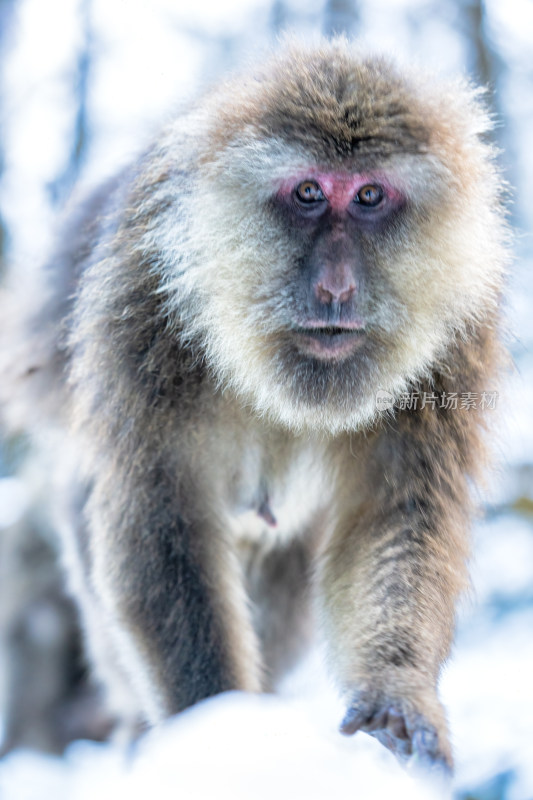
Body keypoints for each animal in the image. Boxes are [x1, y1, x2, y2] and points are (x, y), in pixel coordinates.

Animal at [0, 39, 508, 776]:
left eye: (369, 196)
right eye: (307, 193)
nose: (336, 287)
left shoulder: (457, 327)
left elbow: (398, 508)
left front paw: (397, 693)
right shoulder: (145, 290)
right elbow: (163, 510)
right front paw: (212, 729)